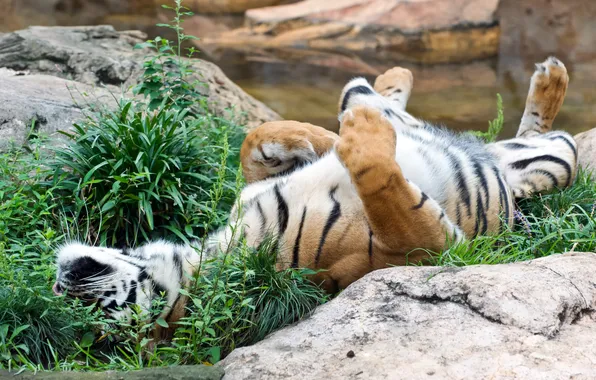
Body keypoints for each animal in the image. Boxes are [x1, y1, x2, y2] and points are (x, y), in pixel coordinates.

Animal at [52, 55, 576, 338]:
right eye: (99, 313)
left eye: (87, 304)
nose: (62, 281)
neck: (218, 252)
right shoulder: (425, 247)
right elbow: (381, 185)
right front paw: (358, 135)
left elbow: (254, 142)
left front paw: (313, 138)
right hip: (551, 160)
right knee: (551, 143)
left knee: (372, 96)